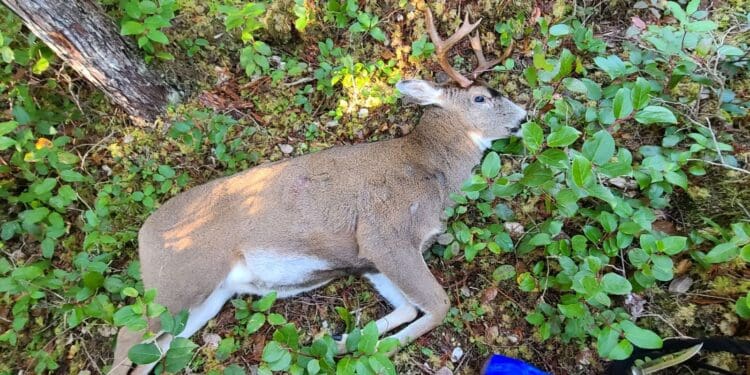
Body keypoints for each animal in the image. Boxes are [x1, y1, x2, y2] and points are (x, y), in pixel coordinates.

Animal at [110, 7, 528, 374]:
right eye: (480, 97)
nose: (525, 117)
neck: (429, 168)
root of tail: (142, 234)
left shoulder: (369, 260)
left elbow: (409, 307)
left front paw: (342, 341)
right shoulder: (385, 234)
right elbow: (438, 305)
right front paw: (373, 348)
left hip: (205, 300)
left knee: (152, 352)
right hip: (176, 282)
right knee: (123, 343)